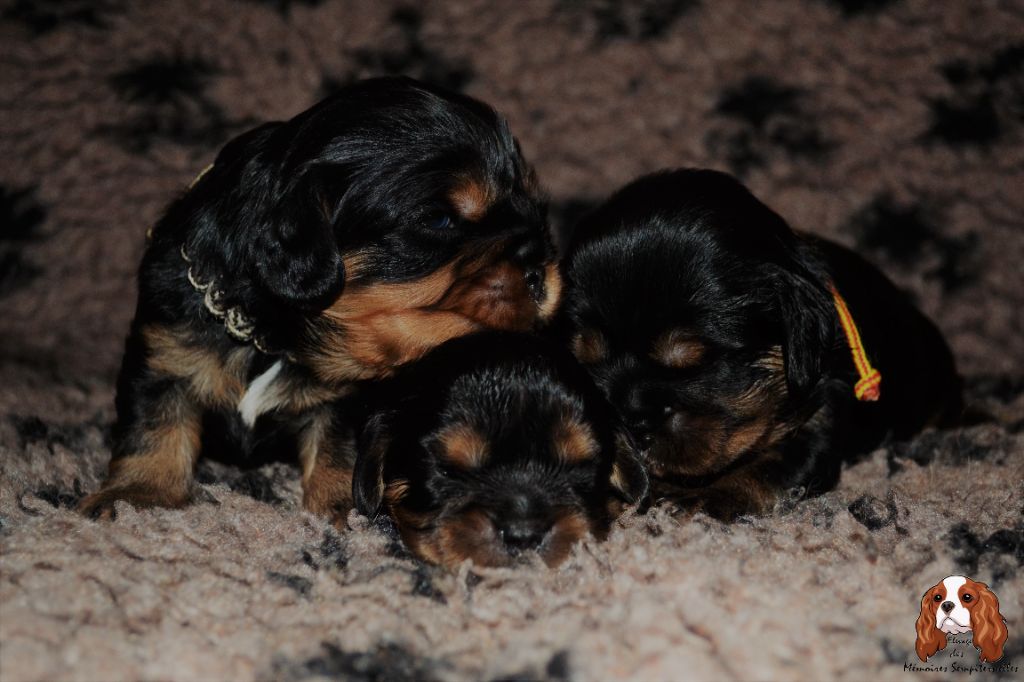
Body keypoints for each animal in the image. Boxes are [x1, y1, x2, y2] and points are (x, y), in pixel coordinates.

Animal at [78, 75, 561, 520]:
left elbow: (337, 448)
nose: (542, 271)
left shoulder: (349, 399)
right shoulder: (165, 351)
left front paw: (340, 510)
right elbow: (154, 425)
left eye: (535, 208)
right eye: (439, 219)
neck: (268, 335)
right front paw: (137, 496)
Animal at [557, 166, 962, 518]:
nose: (632, 421)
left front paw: (699, 498)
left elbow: (766, 467)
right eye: (587, 362)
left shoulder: (823, 409)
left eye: (696, 363)